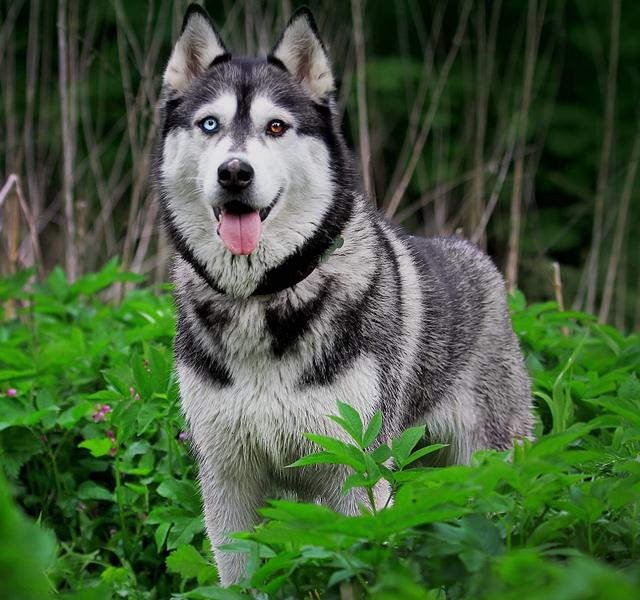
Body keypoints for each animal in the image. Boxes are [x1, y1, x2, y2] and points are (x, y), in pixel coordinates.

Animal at [155, 3, 536, 584]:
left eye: (276, 126)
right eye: (209, 124)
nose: (234, 172)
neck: (262, 298)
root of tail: (480, 260)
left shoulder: (357, 472)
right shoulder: (227, 479)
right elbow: (240, 575)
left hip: (489, 460)